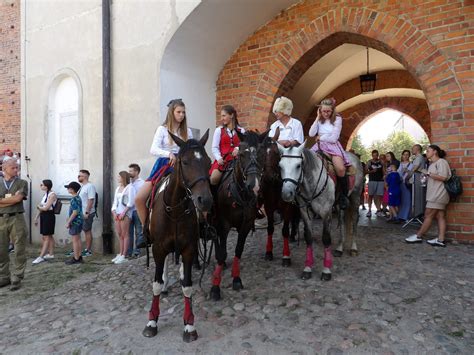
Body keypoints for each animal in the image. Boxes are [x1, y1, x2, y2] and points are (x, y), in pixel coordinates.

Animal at [142, 130, 212, 342]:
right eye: (185, 162)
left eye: (208, 162)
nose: (205, 200)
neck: (174, 209)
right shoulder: (158, 247)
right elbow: (156, 284)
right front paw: (152, 322)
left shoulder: (189, 248)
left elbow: (188, 286)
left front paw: (189, 325)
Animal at [210, 131, 268, 300]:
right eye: (242, 154)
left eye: (262, 154)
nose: (254, 186)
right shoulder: (224, 224)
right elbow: (223, 253)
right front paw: (215, 288)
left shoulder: (246, 224)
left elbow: (238, 249)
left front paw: (236, 279)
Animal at [260, 131, 300, 268]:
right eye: (260, 152)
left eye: (276, 153)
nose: (268, 177)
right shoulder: (268, 207)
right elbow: (270, 228)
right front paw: (268, 252)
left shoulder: (288, 207)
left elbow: (285, 230)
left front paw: (286, 256)